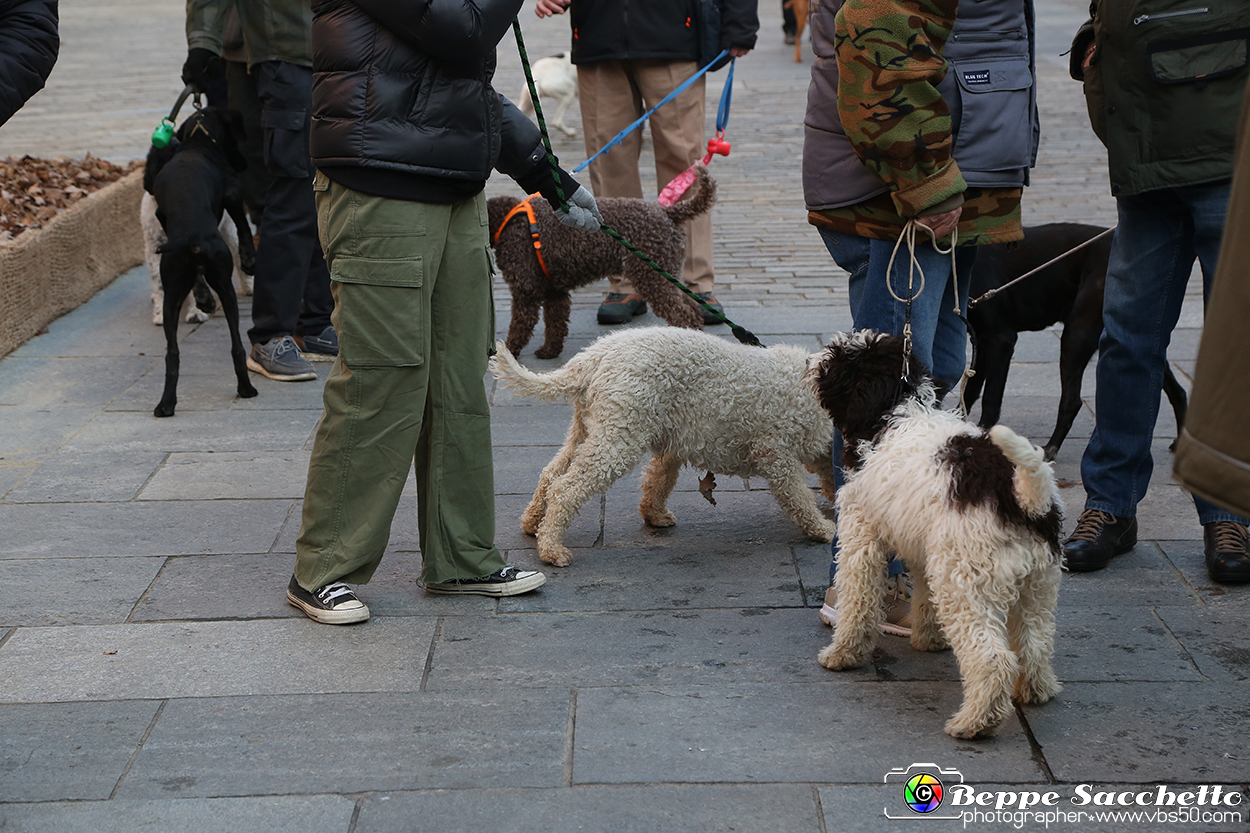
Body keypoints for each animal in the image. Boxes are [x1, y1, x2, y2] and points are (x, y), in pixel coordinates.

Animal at [143, 105, 256, 415]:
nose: (244, 162)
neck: (197, 142)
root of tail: (191, 239)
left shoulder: (160, 215)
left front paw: (203, 298)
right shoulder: (233, 192)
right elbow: (244, 228)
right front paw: (249, 259)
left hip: (173, 289)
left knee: (172, 353)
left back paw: (166, 404)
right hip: (225, 286)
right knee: (237, 345)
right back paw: (246, 388)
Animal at [485, 162, 715, 357]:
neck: (506, 221)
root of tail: (667, 212)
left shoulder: (525, 290)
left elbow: (519, 325)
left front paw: (507, 352)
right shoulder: (555, 291)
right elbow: (555, 324)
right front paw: (549, 351)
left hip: (653, 276)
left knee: (682, 313)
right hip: (666, 273)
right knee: (693, 308)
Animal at [492, 325, 835, 565]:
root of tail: (592, 357)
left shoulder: (673, 443)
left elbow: (658, 481)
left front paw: (654, 515)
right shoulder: (775, 453)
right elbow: (798, 498)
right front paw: (823, 529)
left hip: (588, 429)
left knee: (551, 474)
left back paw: (532, 524)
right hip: (618, 438)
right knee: (566, 488)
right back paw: (551, 549)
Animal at [810, 327, 1065, 735]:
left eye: (838, 359)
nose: (809, 361)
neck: (894, 414)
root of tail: (1019, 495)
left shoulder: (860, 536)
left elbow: (858, 601)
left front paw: (843, 653)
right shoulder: (926, 549)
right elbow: (924, 598)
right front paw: (928, 639)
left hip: (968, 585)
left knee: (993, 660)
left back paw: (975, 722)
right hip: (1038, 585)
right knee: (1034, 645)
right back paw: (1035, 691)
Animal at [960, 222, 1185, 460]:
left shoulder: (1001, 341)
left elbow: (990, 398)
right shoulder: (982, 342)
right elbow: (969, 391)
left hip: (1076, 334)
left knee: (1072, 400)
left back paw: (1051, 447)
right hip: (1137, 340)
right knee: (1176, 390)